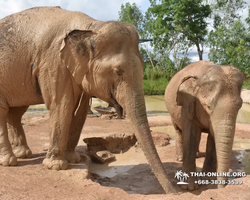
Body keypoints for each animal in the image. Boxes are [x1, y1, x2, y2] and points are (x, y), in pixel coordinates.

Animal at [165, 60, 243, 191]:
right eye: (208, 107)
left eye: (240, 106)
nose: (222, 188)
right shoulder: (187, 105)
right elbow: (191, 135)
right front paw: (190, 188)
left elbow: (212, 138)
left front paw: (208, 179)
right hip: (171, 113)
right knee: (179, 131)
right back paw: (180, 158)